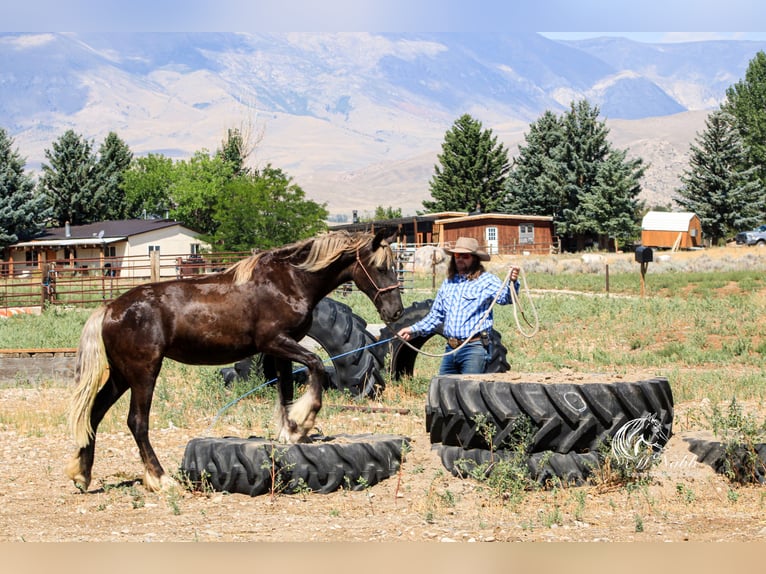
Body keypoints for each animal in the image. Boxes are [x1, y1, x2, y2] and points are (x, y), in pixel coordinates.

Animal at [66, 230, 404, 496]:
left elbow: (285, 390)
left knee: (94, 414)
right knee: (137, 422)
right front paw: (304, 421)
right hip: (143, 373)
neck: (289, 281)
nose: (396, 311)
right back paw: (160, 479)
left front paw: (290, 432)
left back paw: (82, 475)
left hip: (121, 376)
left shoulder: (281, 351)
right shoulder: (276, 342)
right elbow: (316, 365)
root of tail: (110, 308)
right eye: (380, 266)